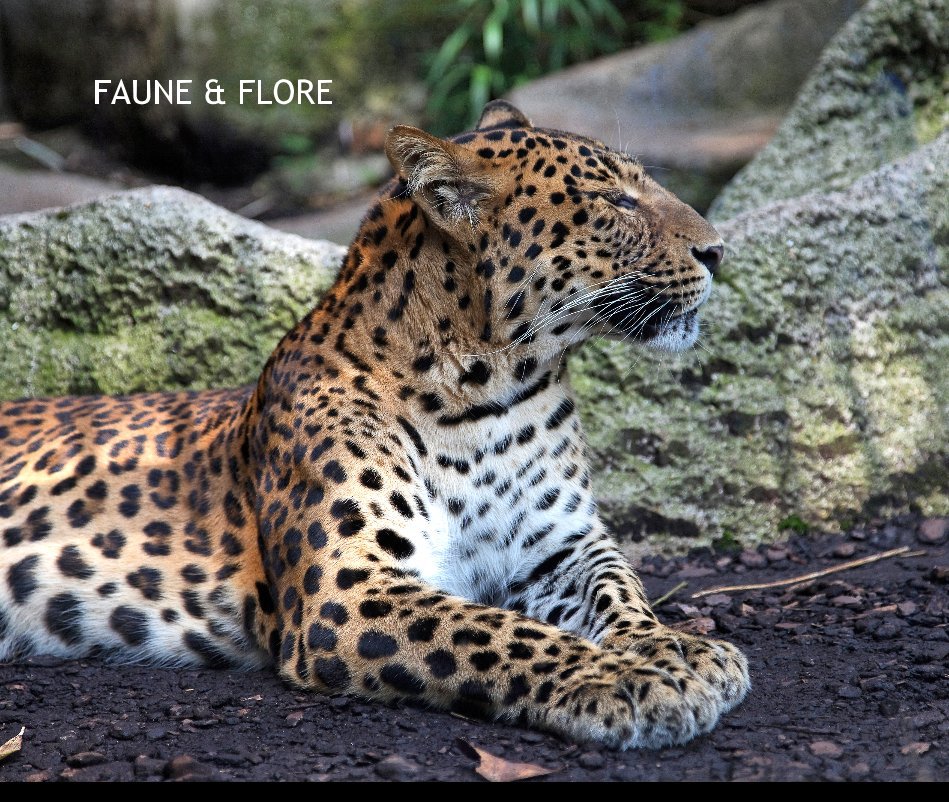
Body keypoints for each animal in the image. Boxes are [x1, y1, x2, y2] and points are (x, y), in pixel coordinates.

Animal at [1, 101, 748, 752]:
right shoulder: (348, 586)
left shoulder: (559, 546)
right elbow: (498, 632)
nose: (718, 252)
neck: (490, 394)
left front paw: (674, 648)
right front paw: (626, 679)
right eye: (615, 202)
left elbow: (619, 592)